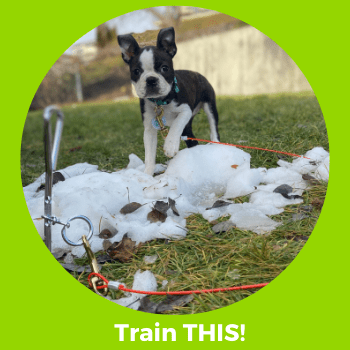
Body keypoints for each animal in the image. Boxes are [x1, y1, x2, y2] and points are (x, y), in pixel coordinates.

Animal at [119, 27, 220, 175]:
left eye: (164, 68)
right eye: (136, 71)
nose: (151, 80)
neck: (160, 101)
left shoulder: (185, 111)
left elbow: (176, 125)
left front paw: (171, 145)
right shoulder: (149, 129)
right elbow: (149, 156)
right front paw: (147, 175)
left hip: (209, 104)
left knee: (213, 127)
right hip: (187, 127)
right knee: (192, 140)